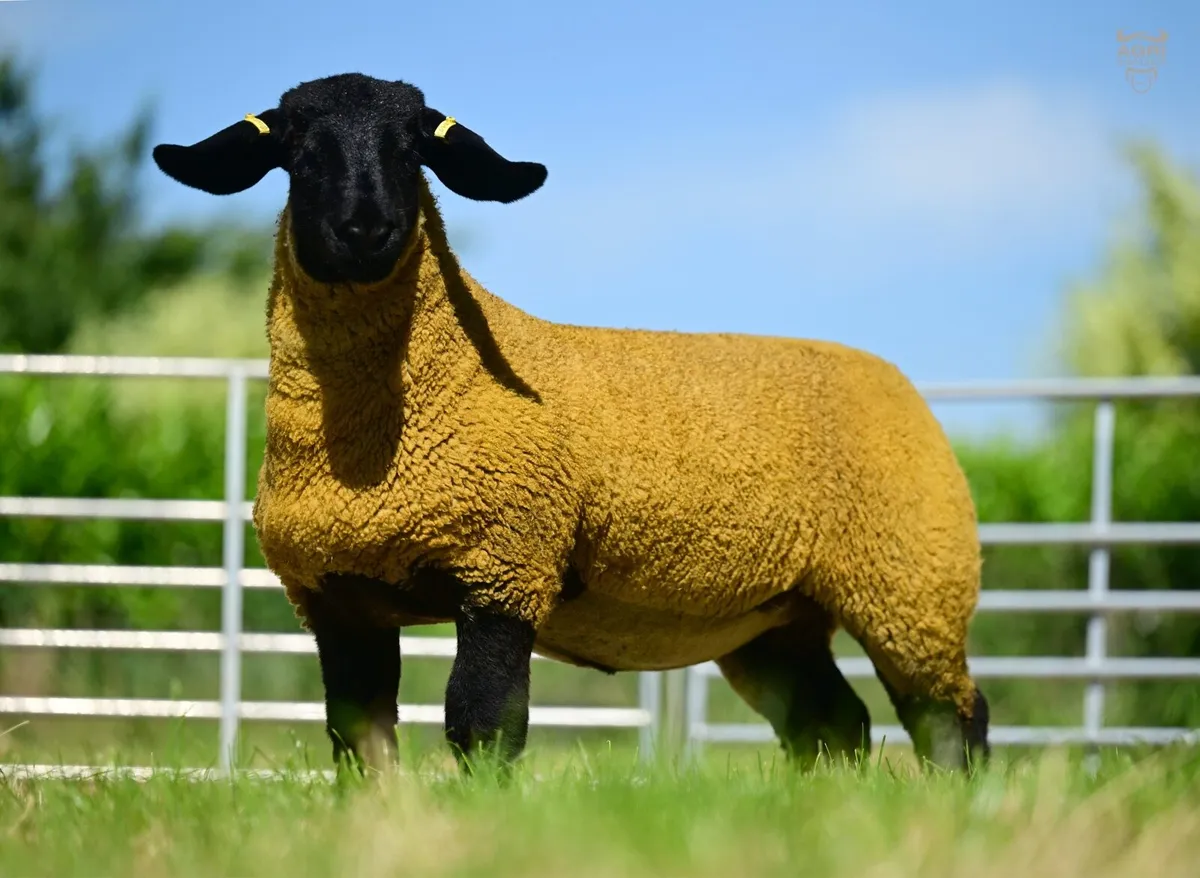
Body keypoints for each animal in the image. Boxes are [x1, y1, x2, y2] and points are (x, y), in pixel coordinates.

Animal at [152, 71, 991, 777]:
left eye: (414, 148)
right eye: (294, 149)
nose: (365, 229)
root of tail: (893, 378)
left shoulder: (504, 564)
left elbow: (482, 722)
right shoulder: (336, 598)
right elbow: (359, 736)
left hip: (913, 578)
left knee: (951, 716)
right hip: (777, 616)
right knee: (830, 722)